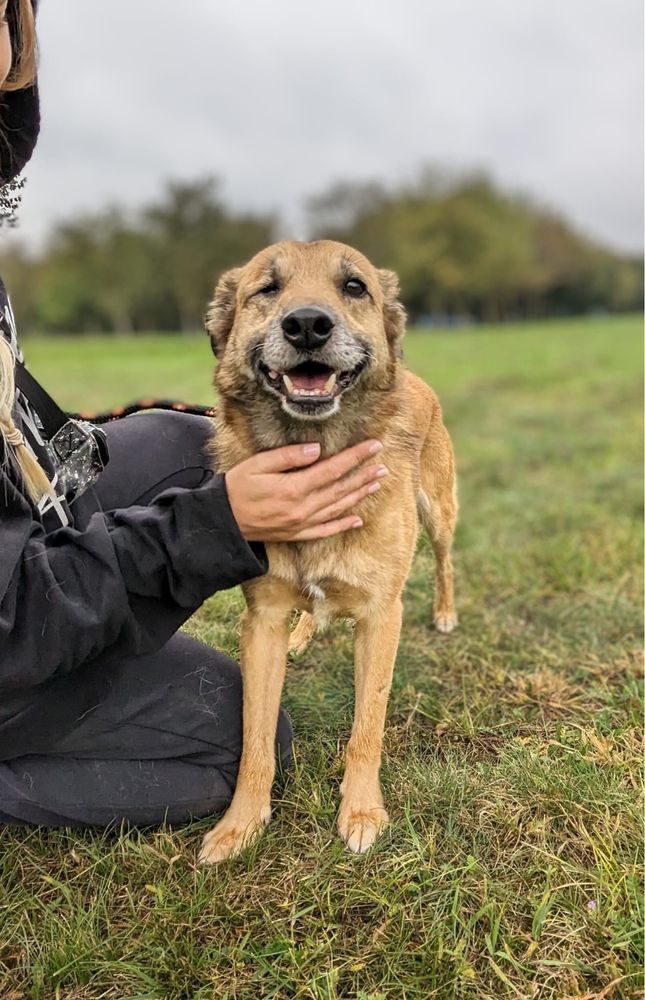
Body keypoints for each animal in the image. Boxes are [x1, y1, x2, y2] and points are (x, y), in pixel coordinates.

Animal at [199, 240, 456, 860]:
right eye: (267, 289)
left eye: (354, 287)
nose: (308, 325)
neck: (315, 452)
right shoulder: (262, 621)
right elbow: (256, 739)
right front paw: (240, 824)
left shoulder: (382, 617)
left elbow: (368, 726)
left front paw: (362, 812)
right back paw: (304, 635)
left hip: (440, 514)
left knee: (444, 562)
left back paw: (445, 612)